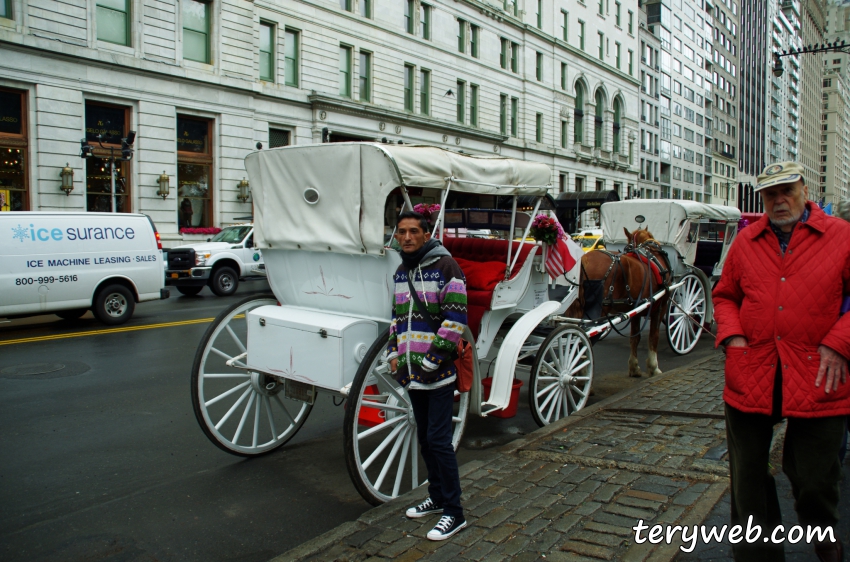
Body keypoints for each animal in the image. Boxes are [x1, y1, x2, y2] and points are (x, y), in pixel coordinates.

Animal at [568, 225, 668, 374]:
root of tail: (584, 259)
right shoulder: (661, 306)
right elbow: (653, 336)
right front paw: (653, 366)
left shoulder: (636, 309)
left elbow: (635, 337)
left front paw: (634, 367)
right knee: (585, 339)